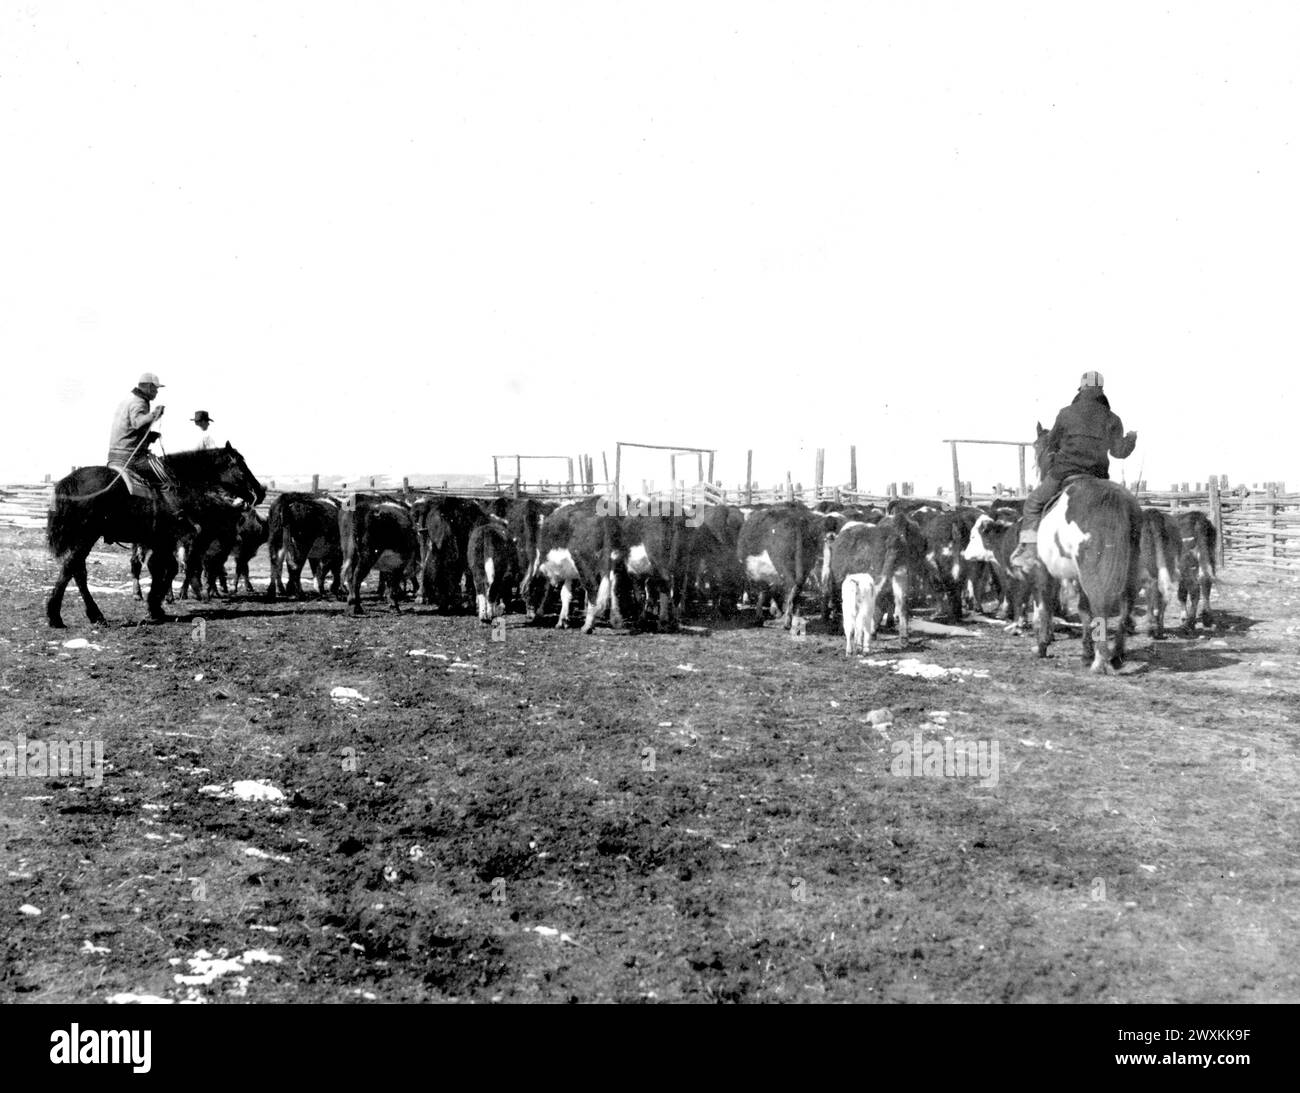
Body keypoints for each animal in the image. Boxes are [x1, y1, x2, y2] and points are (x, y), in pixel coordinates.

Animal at [45, 444, 263, 626]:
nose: (260, 491)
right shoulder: (168, 539)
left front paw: (156, 606)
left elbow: (164, 570)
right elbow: (166, 569)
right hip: (86, 536)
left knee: (75, 570)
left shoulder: (161, 542)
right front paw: (155, 606)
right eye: (240, 464)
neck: (179, 486)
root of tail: (68, 482)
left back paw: (82, 614)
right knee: (73, 568)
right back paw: (64, 615)